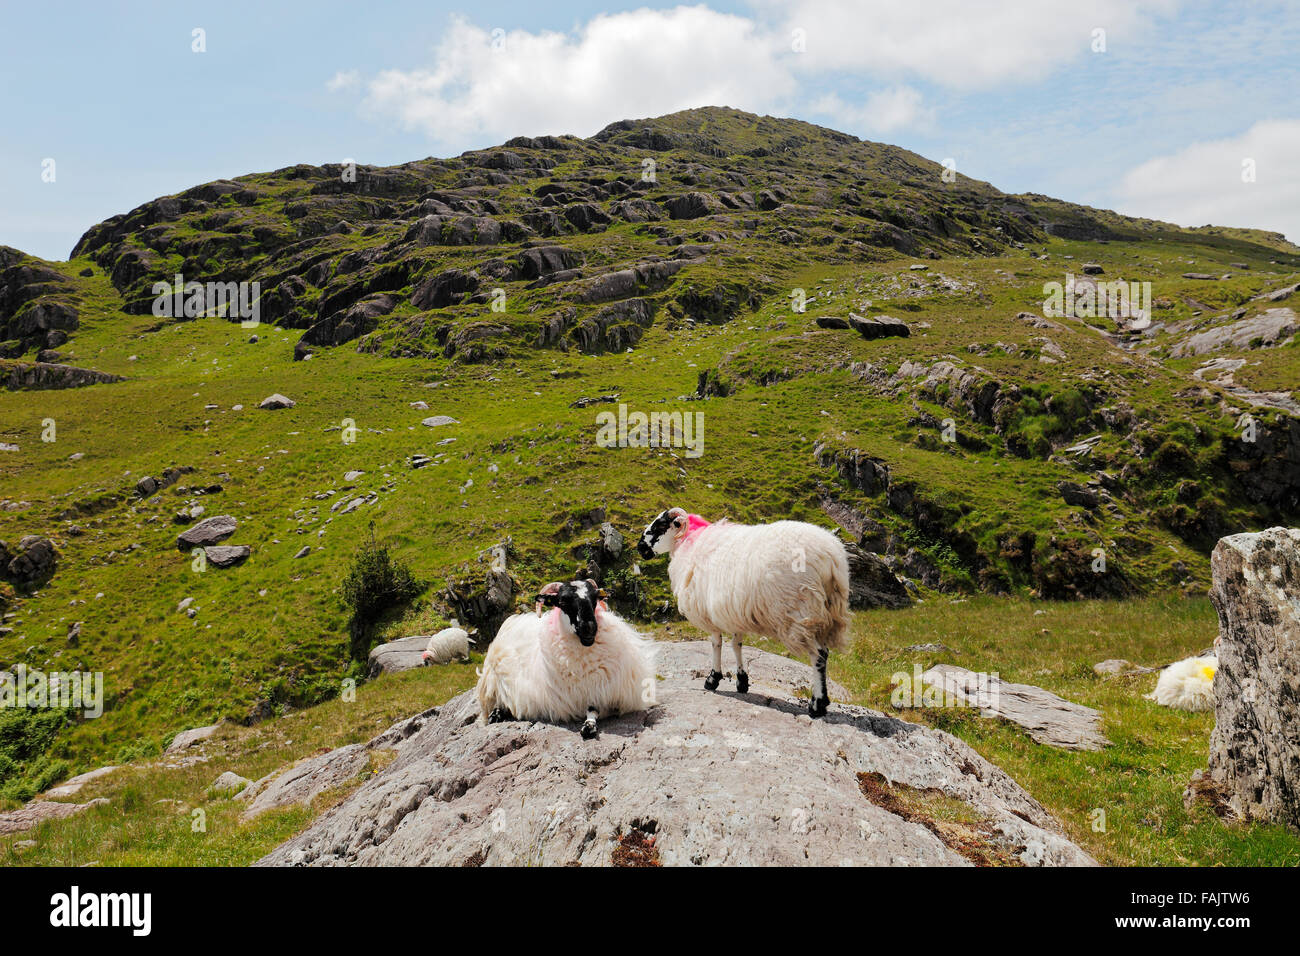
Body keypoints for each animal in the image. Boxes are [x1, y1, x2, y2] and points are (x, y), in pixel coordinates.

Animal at [475, 574, 655, 738]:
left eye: (595, 598)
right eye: (562, 602)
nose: (589, 627)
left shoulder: (605, 692)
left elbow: (593, 709)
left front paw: (589, 726)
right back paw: (495, 715)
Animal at [639, 509, 852, 717]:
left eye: (660, 525)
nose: (640, 547)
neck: (690, 542)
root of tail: (830, 557)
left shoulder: (710, 613)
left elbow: (716, 644)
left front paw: (712, 679)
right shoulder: (732, 611)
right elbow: (736, 645)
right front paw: (742, 681)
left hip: (801, 613)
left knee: (819, 656)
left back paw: (817, 705)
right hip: (824, 614)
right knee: (824, 652)